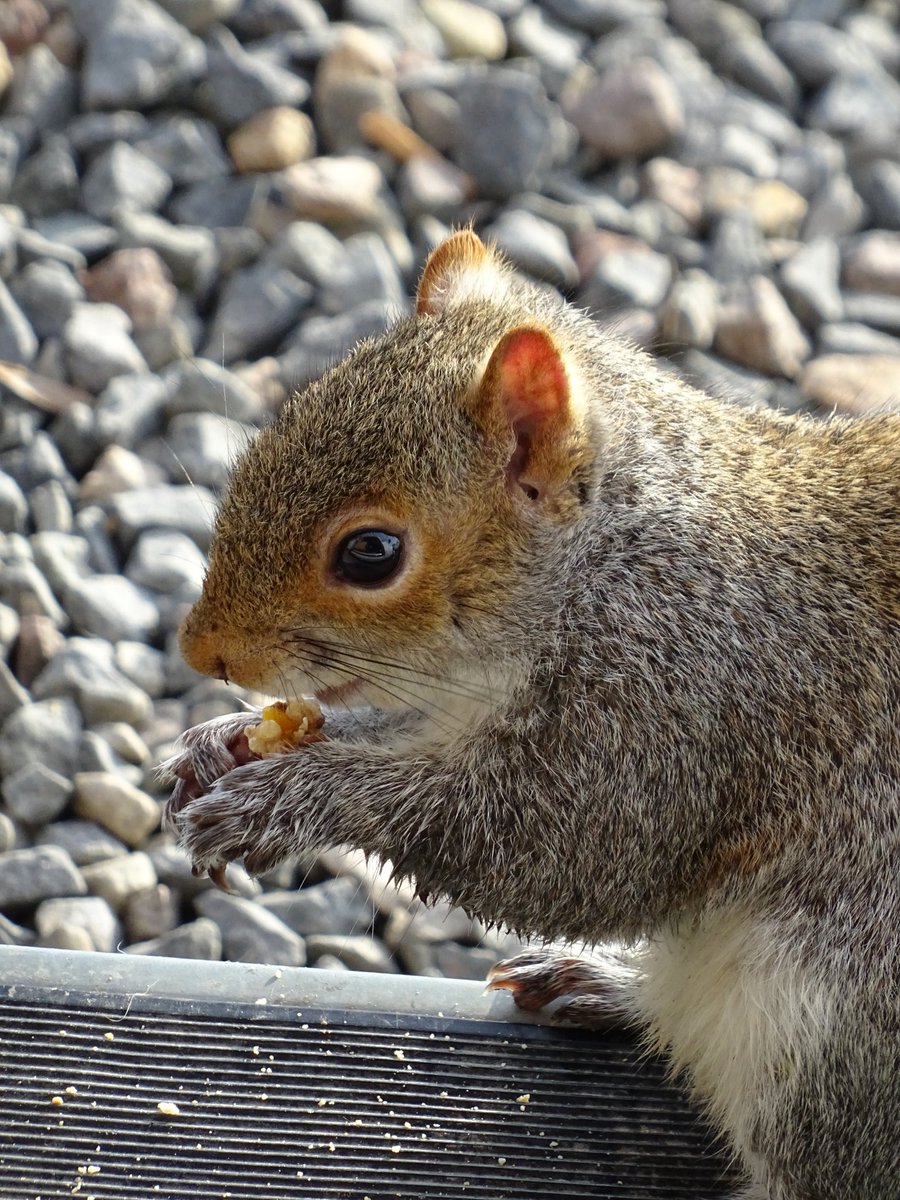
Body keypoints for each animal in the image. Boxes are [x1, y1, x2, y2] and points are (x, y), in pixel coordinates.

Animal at [166, 230, 900, 1200]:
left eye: (370, 553)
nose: (202, 653)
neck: (610, 558)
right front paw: (220, 747)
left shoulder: (681, 699)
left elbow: (562, 852)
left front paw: (286, 798)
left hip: (828, 1044)